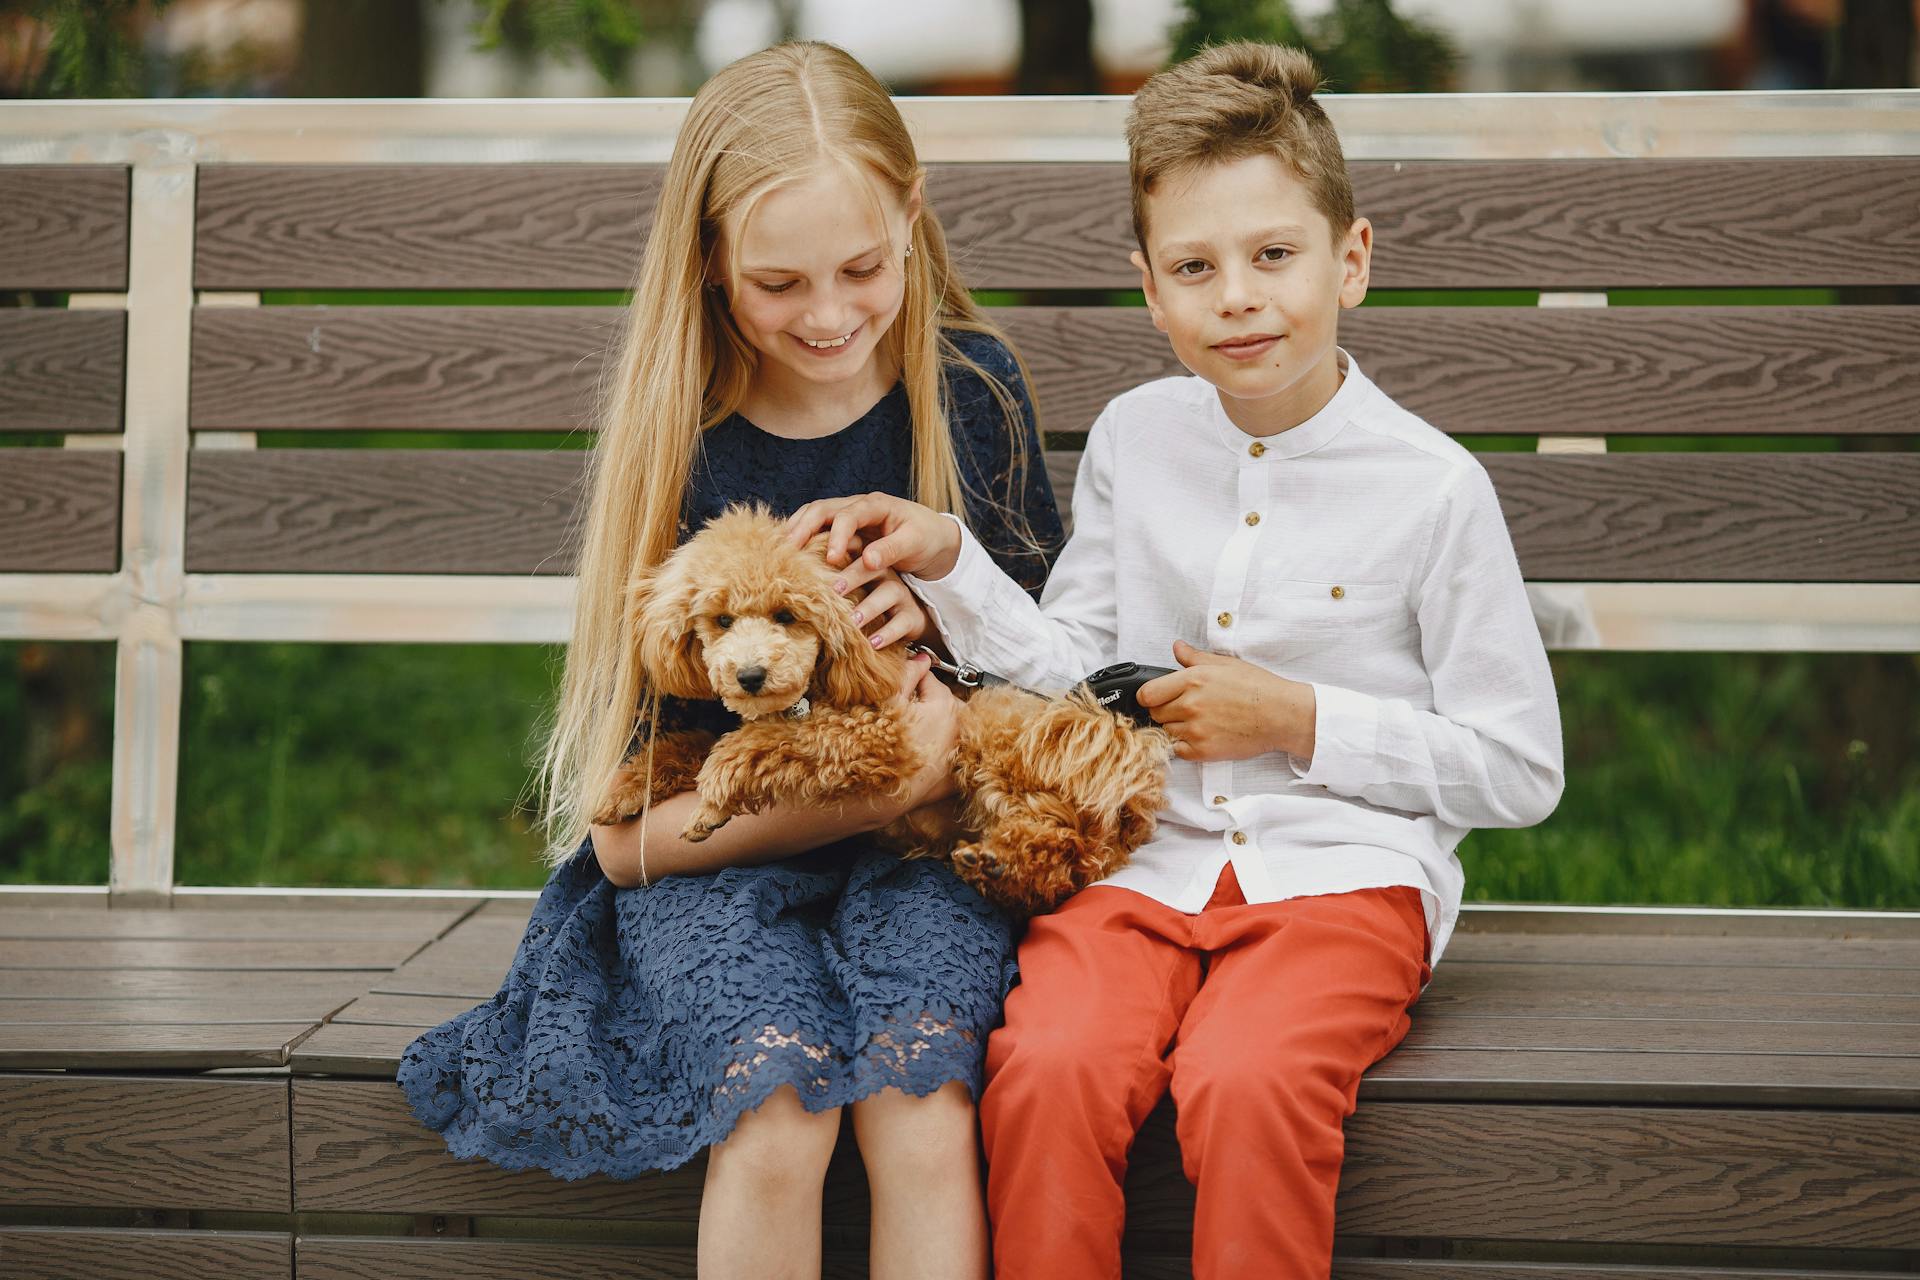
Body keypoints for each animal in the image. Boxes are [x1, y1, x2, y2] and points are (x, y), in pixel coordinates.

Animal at [595, 506, 1167, 917]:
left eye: (787, 615)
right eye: (721, 620)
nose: (750, 676)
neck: (814, 692)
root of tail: (1132, 810)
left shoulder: (878, 734)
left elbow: (764, 742)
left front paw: (714, 795)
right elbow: (695, 741)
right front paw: (625, 789)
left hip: (1002, 734)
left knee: (1068, 843)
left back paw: (1003, 862)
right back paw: (997, 867)